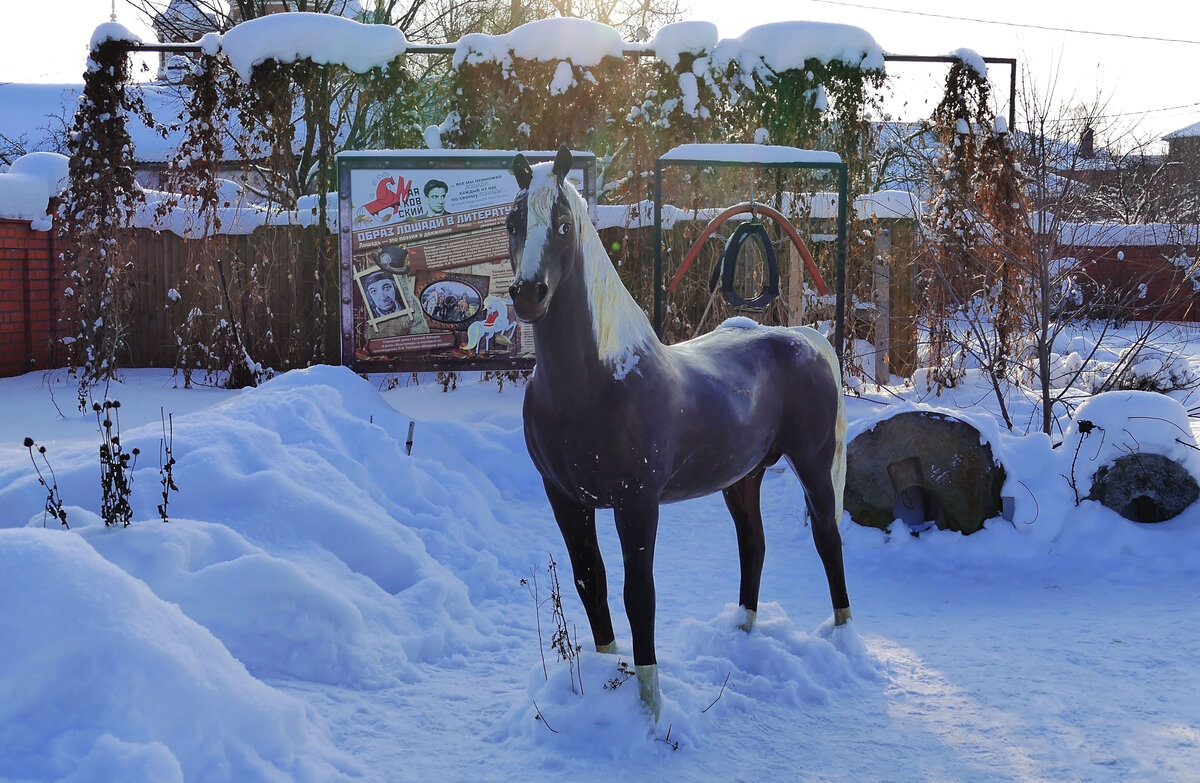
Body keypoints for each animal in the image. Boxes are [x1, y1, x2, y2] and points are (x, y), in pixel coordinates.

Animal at [506, 147, 850, 720]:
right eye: (512, 222)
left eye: (561, 224)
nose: (527, 293)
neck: (597, 381)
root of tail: (806, 338)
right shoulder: (565, 500)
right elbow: (591, 582)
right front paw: (609, 672)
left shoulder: (637, 502)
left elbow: (638, 595)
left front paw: (652, 706)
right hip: (742, 479)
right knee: (753, 545)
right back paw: (742, 632)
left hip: (814, 467)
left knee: (829, 541)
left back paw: (845, 636)